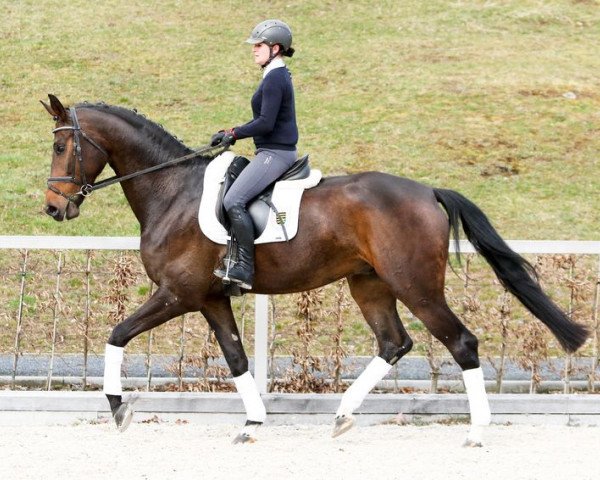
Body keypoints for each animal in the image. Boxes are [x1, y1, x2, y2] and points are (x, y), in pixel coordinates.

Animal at [39, 94, 588, 446]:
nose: (53, 208)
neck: (172, 191)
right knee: (394, 343)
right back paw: (343, 415)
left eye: (62, 146)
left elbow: (116, 334)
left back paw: (475, 432)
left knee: (461, 343)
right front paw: (252, 425)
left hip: (416, 287)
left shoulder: (177, 294)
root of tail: (427, 191)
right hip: (369, 284)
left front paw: (119, 409)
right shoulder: (211, 299)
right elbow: (236, 359)